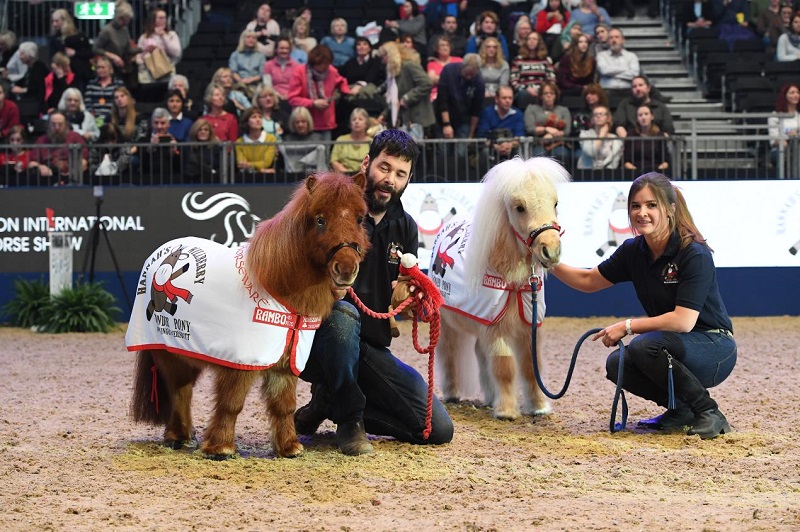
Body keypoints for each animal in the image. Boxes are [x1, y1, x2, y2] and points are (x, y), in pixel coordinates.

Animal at [130, 172, 370, 460]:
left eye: (360, 218)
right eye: (320, 219)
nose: (346, 269)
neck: (275, 285)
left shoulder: (284, 365)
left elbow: (283, 405)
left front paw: (289, 447)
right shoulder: (239, 364)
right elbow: (231, 402)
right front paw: (220, 448)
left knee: (184, 390)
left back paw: (185, 435)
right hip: (169, 353)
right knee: (179, 392)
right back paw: (177, 436)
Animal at [428, 157, 572, 420]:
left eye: (555, 203)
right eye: (519, 207)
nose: (551, 251)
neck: (511, 282)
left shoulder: (528, 327)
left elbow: (530, 367)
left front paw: (539, 407)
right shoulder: (496, 328)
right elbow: (505, 368)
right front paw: (507, 411)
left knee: (480, 354)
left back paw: (489, 397)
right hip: (448, 323)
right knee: (448, 352)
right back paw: (453, 393)